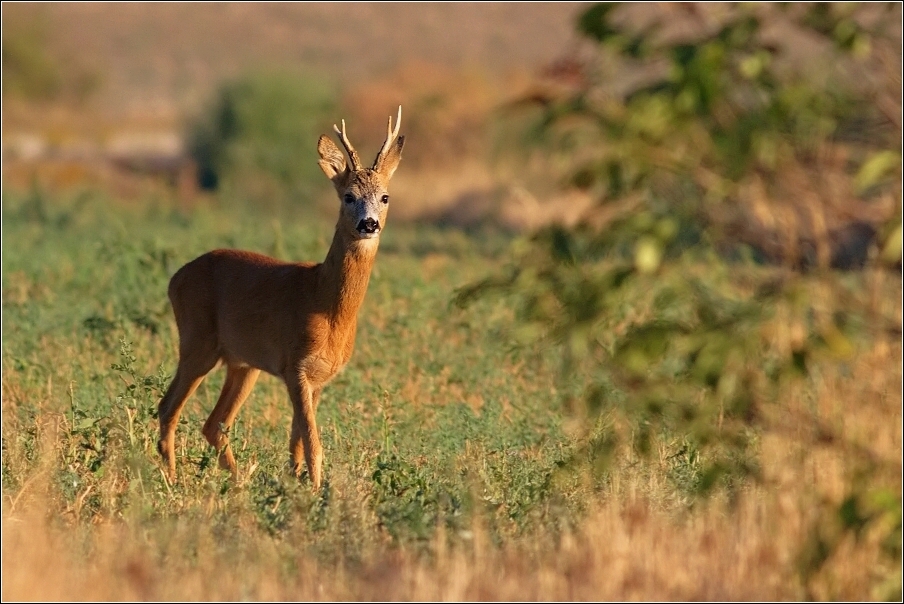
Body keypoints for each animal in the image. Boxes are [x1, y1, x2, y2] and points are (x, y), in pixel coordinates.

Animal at [157, 106, 404, 488]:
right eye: (348, 196)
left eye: (385, 196)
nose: (369, 224)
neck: (324, 302)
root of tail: (176, 277)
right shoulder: (294, 366)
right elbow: (313, 443)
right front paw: (315, 492)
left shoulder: (317, 378)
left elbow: (298, 443)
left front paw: (296, 486)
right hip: (198, 342)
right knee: (167, 408)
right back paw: (172, 480)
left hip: (243, 363)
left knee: (213, 423)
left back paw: (238, 483)